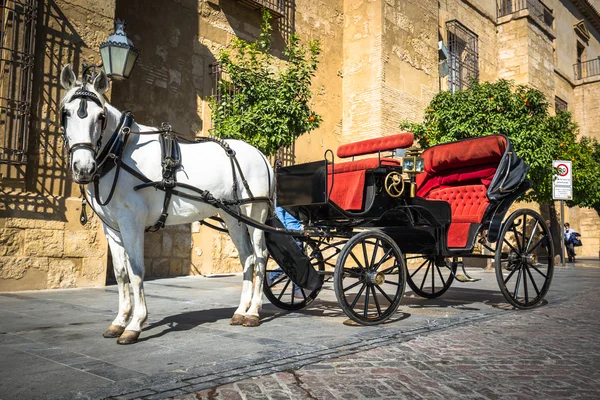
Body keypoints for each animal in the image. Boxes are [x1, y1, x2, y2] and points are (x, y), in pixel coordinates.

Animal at [59, 65, 274, 344]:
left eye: (100, 116)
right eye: (66, 113)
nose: (83, 168)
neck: (120, 151)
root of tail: (260, 154)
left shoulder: (132, 223)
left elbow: (136, 270)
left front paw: (135, 324)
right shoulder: (112, 228)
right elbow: (120, 272)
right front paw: (119, 321)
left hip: (255, 213)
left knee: (260, 256)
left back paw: (253, 312)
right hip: (232, 216)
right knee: (247, 257)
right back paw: (240, 311)